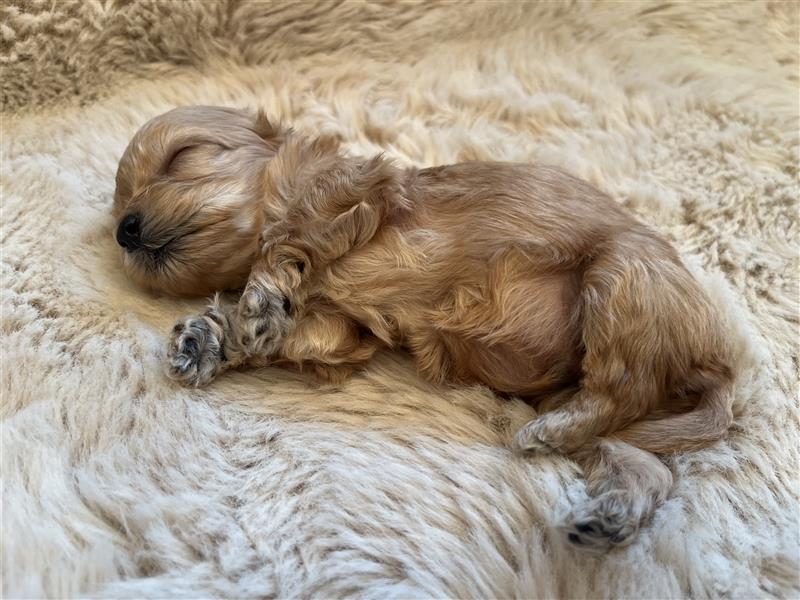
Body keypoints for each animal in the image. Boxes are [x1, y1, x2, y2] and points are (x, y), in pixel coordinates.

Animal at [114, 108, 736, 552]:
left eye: (182, 156)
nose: (123, 229)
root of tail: (713, 363)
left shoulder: (348, 192)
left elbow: (291, 237)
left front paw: (259, 298)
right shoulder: (337, 330)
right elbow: (296, 330)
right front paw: (211, 341)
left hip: (622, 280)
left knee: (618, 388)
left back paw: (547, 434)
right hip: (617, 410)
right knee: (642, 466)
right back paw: (606, 516)